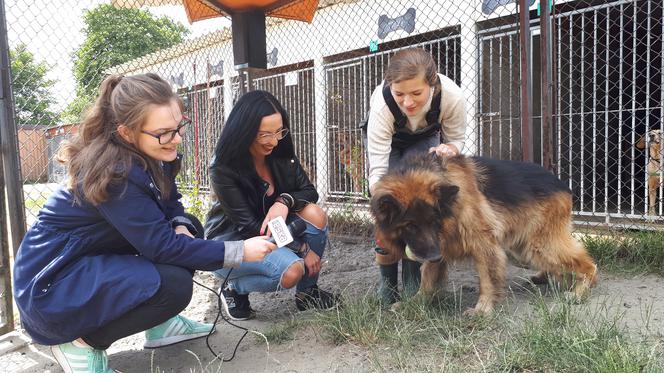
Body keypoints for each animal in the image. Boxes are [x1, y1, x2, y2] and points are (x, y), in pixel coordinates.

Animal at [370, 153, 600, 314]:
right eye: (410, 225)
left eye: (434, 221)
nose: (434, 256)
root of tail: (562, 184)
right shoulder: (438, 244)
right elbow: (427, 277)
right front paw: (416, 302)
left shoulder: (483, 243)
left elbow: (488, 277)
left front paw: (483, 309)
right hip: (523, 249)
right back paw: (547, 277)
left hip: (538, 247)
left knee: (587, 264)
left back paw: (580, 291)